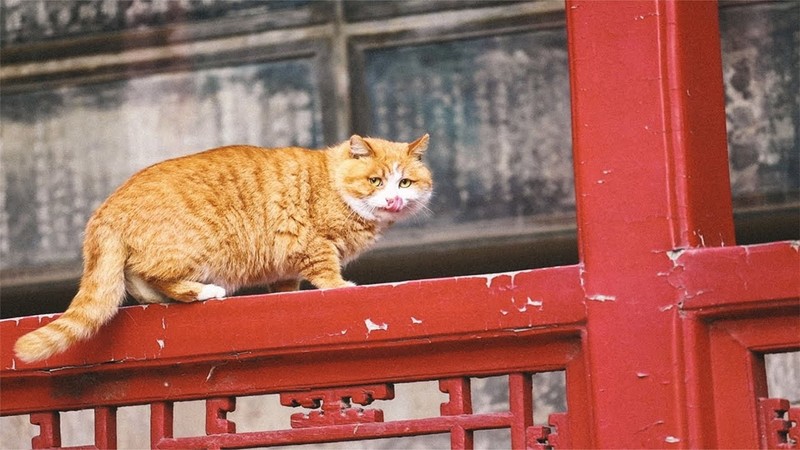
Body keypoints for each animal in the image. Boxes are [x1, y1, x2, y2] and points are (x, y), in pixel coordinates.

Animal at [12, 134, 432, 362]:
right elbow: (327, 273)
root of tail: (106, 209)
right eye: (376, 181)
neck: (333, 184)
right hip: (196, 248)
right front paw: (342, 287)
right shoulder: (311, 243)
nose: (394, 199)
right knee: (157, 276)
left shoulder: (285, 268)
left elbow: (286, 286)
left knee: (139, 281)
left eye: (405, 183)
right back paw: (205, 291)